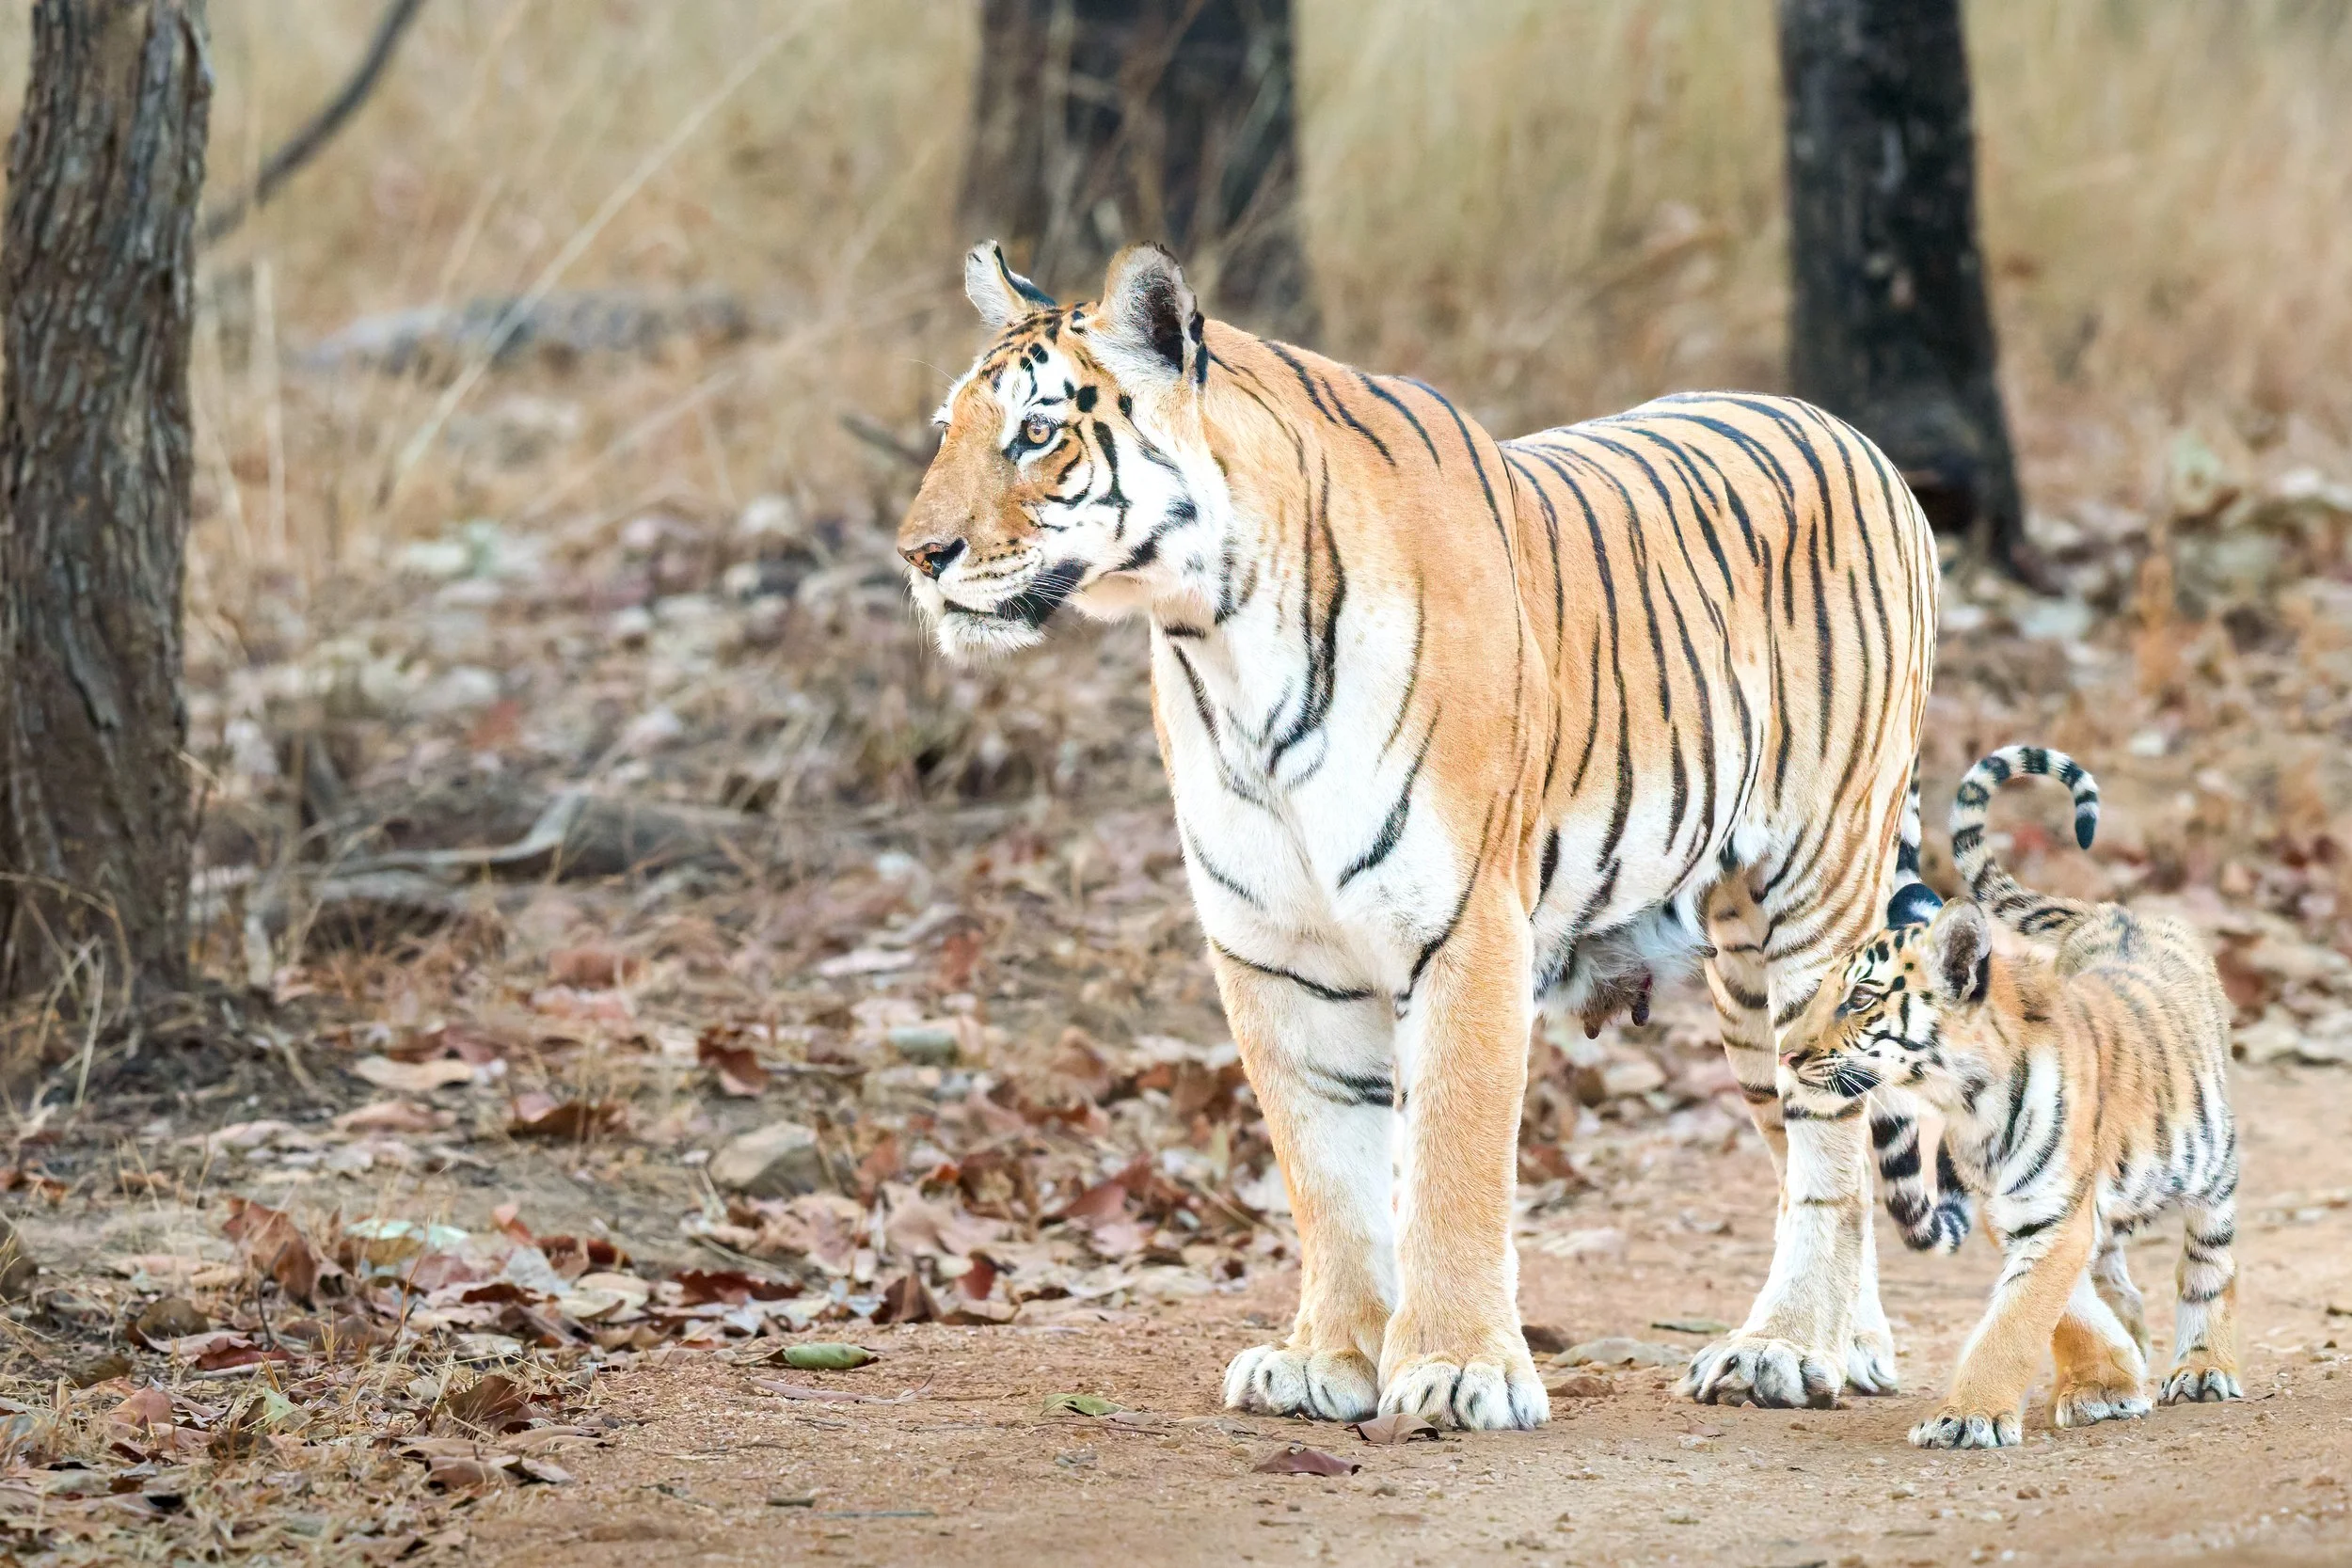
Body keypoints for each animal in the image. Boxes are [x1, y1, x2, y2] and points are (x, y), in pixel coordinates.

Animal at [897, 240, 1939, 1428]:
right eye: (948, 428)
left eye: (1037, 432)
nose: (919, 553)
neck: (1218, 641)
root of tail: (1853, 436)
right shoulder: (1275, 949)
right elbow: (1327, 1171)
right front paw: (1327, 1357)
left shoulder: (1466, 924)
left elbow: (1449, 1156)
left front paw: (1455, 1367)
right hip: (1741, 975)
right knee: (1820, 1144)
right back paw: (1849, 1346)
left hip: (1812, 901)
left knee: (1829, 1150)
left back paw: (1784, 1348)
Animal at [1780, 744, 2242, 1449]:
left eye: (1858, 999)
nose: (1787, 1053)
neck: (1966, 1102)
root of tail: (2113, 909)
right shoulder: (2019, 1212)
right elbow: (2066, 1308)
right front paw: (2106, 1383)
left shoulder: (2053, 1212)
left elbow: (2015, 1320)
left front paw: (1966, 1417)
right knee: (2116, 1271)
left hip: (2210, 1166)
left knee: (2207, 1266)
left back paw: (2203, 1366)